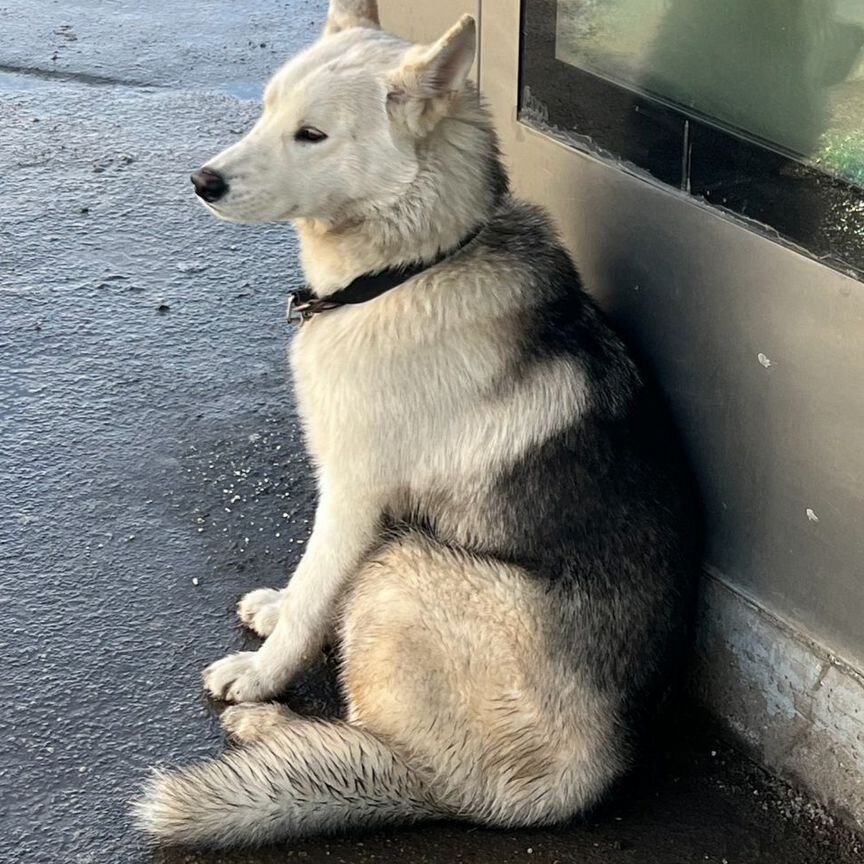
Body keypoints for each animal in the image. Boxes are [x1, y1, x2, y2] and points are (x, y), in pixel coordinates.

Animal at [137, 3, 704, 848]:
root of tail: (573, 784)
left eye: (313, 134)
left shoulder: (353, 494)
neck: (412, 267)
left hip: (403, 564)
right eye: (266, 109)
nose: (204, 182)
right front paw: (278, 607)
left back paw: (272, 728)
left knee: (396, 762)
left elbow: (317, 587)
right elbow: (310, 583)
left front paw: (266, 669)